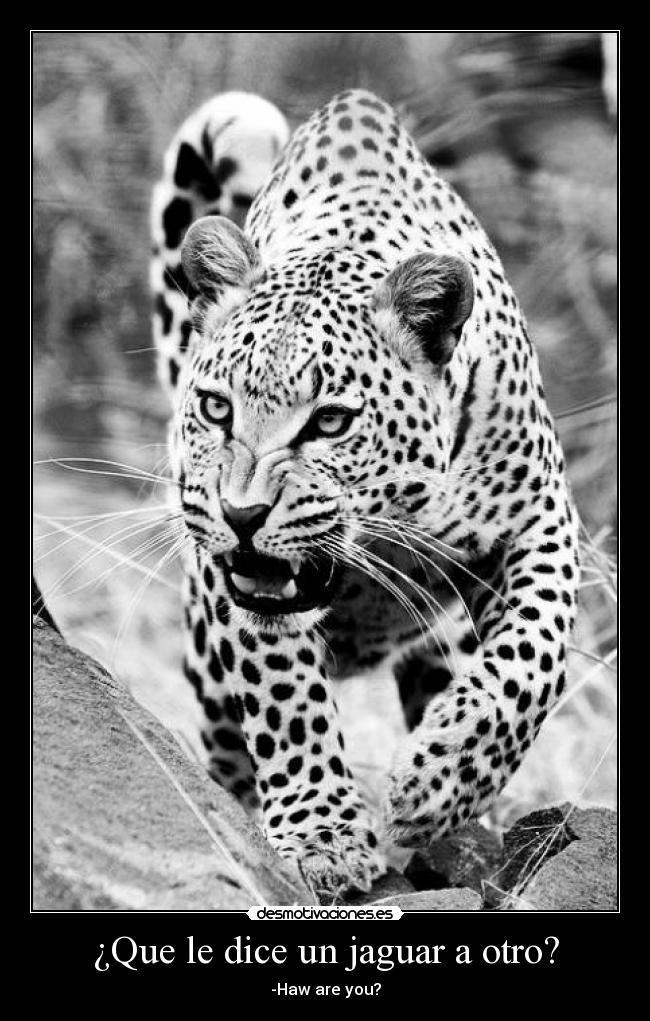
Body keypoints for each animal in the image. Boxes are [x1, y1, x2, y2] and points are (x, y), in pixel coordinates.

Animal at [150, 87, 580, 900]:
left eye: (330, 420)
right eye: (217, 408)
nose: (242, 515)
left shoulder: (543, 520)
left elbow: (533, 657)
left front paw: (439, 782)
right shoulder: (228, 571)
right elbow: (284, 695)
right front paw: (323, 835)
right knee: (226, 741)